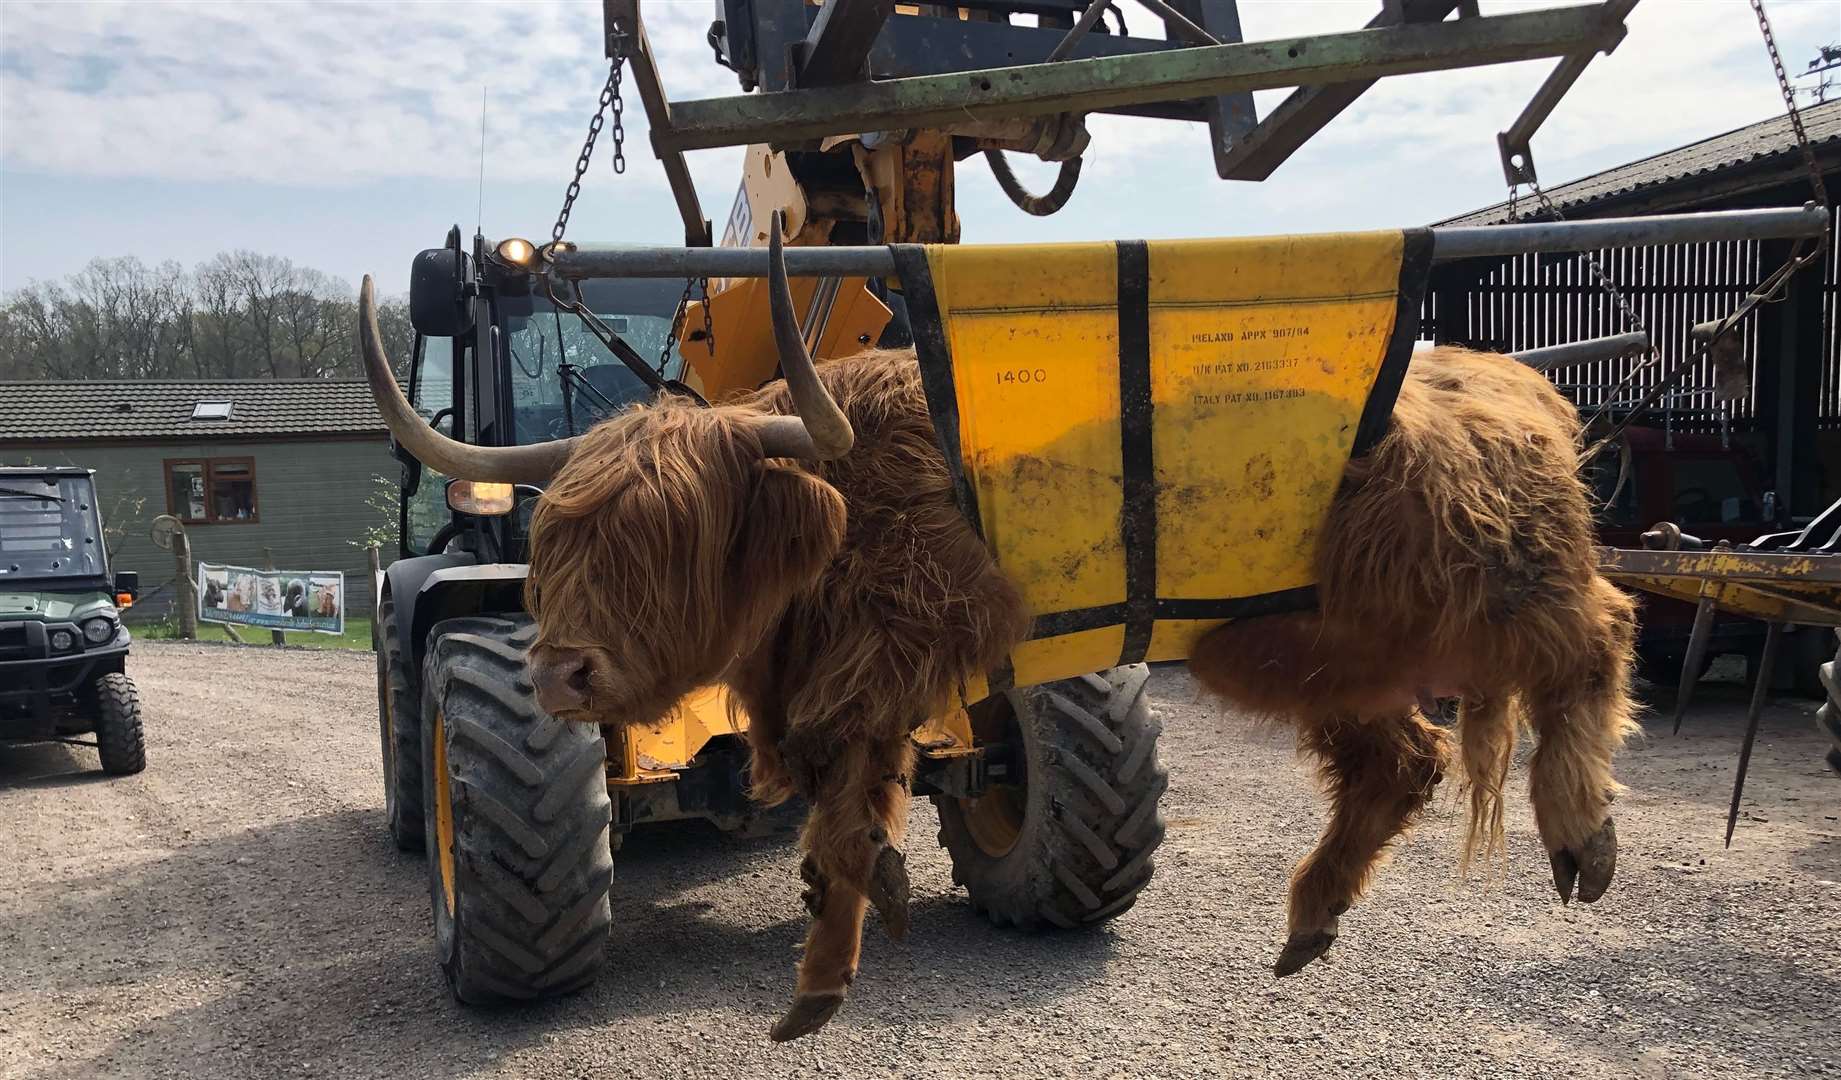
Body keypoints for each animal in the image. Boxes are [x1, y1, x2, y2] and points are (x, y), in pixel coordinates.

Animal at [355, 229, 1642, 1045]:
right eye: (556, 537)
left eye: (669, 536)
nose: (557, 670)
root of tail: (1514, 386)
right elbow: (842, 781)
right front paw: (854, 902)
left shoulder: (902, 644)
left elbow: (855, 778)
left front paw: (838, 932)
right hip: (1318, 644)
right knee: (1403, 757)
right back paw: (1312, 918)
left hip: (1489, 586)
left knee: (1594, 637)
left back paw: (1579, 835)